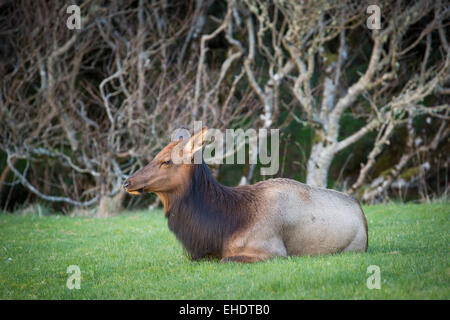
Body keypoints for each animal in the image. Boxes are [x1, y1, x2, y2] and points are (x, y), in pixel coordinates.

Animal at [121, 127, 368, 262]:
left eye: (166, 161)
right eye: (156, 156)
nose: (127, 182)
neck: (220, 228)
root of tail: (361, 210)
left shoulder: (272, 251)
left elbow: (226, 260)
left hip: (352, 248)